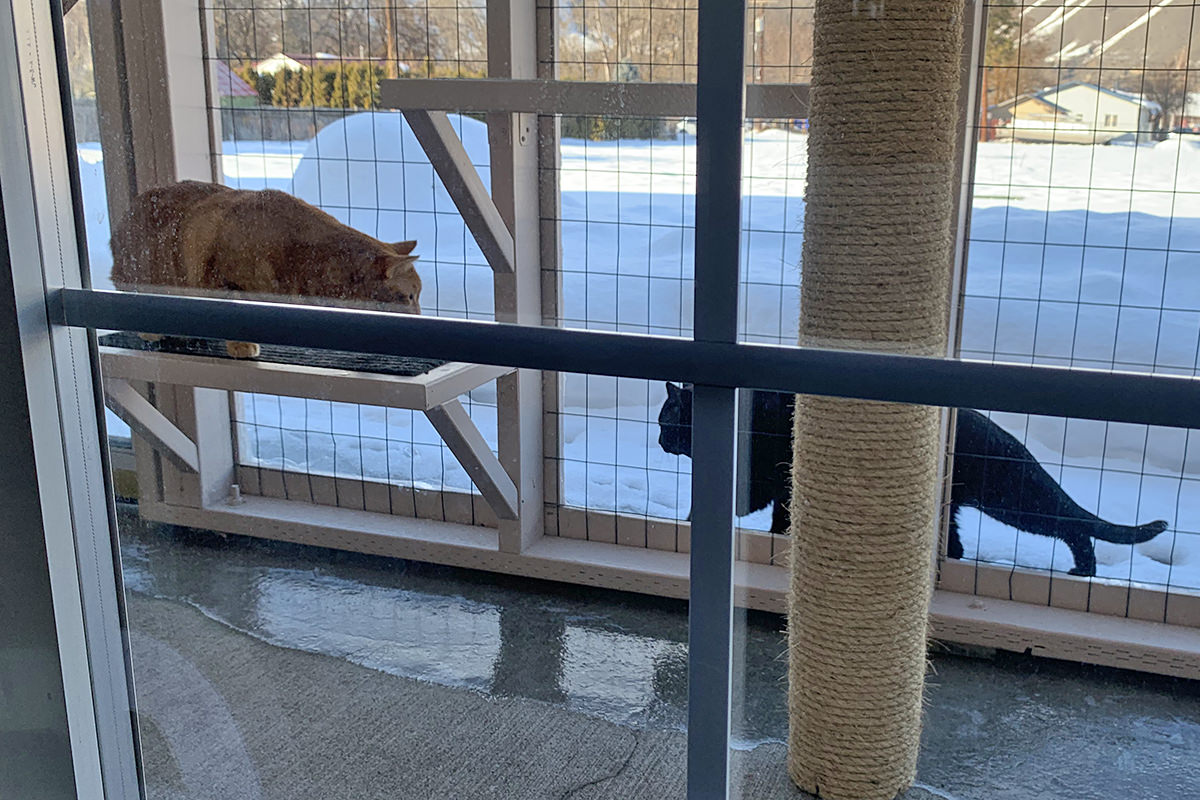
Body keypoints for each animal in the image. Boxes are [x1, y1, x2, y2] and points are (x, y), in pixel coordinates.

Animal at [657, 381, 1171, 575]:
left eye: (666, 421)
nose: (660, 441)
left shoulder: (762, 482)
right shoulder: (779, 489)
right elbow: (778, 519)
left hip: (1009, 497)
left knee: (1072, 525)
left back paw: (1084, 570)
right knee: (959, 545)